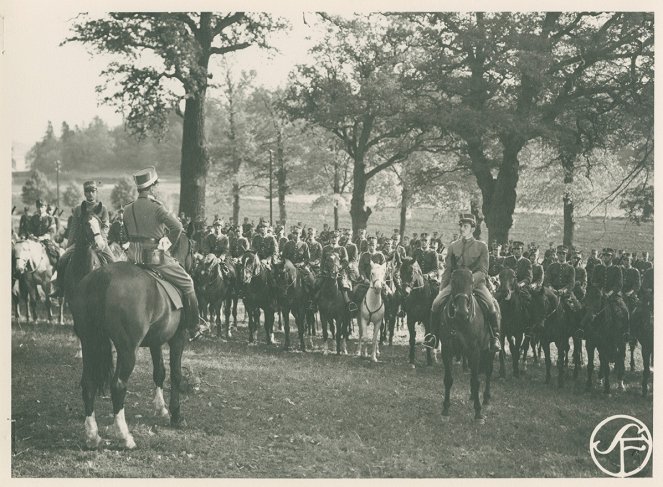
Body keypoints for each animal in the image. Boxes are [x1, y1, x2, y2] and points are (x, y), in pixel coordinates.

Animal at [69, 237, 196, 450]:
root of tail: (102, 277)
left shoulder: (156, 341)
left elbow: (159, 372)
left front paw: (161, 408)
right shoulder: (178, 338)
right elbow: (176, 374)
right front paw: (176, 415)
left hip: (90, 343)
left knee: (88, 384)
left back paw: (92, 436)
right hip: (127, 350)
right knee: (118, 385)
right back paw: (124, 436)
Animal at [436, 268, 498, 422]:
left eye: (471, 282)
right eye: (453, 282)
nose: (462, 312)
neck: (460, 322)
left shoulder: (474, 351)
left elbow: (477, 381)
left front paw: (478, 412)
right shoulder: (447, 350)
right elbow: (448, 379)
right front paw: (445, 409)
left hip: (489, 351)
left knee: (488, 372)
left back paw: (486, 398)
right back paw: (472, 395)